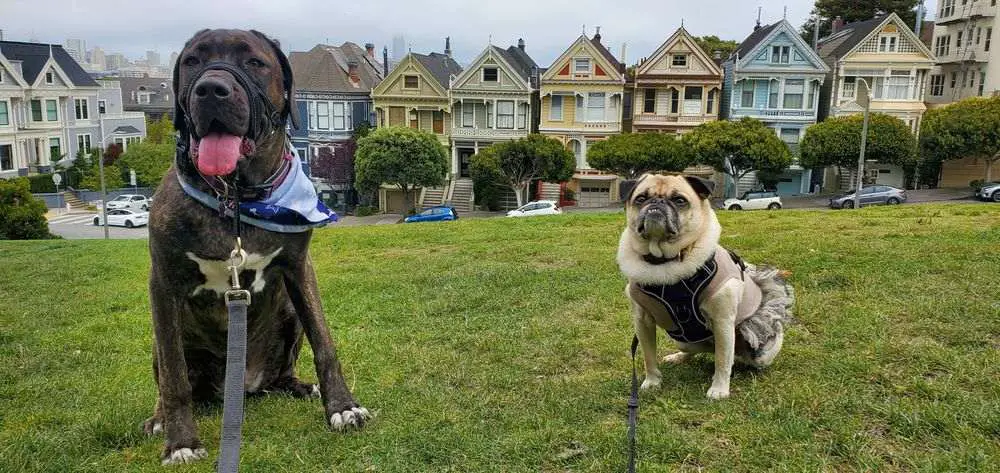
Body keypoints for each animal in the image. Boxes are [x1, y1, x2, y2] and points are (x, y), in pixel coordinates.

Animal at [146, 29, 370, 464]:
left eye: (255, 63)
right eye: (192, 61)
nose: (210, 89)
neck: (237, 197)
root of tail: (242, 386)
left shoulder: (300, 268)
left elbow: (325, 342)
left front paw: (342, 407)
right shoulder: (162, 283)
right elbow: (174, 375)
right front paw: (181, 442)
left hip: (288, 315)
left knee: (279, 375)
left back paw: (299, 386)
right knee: (169, 376)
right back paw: (160, 420)